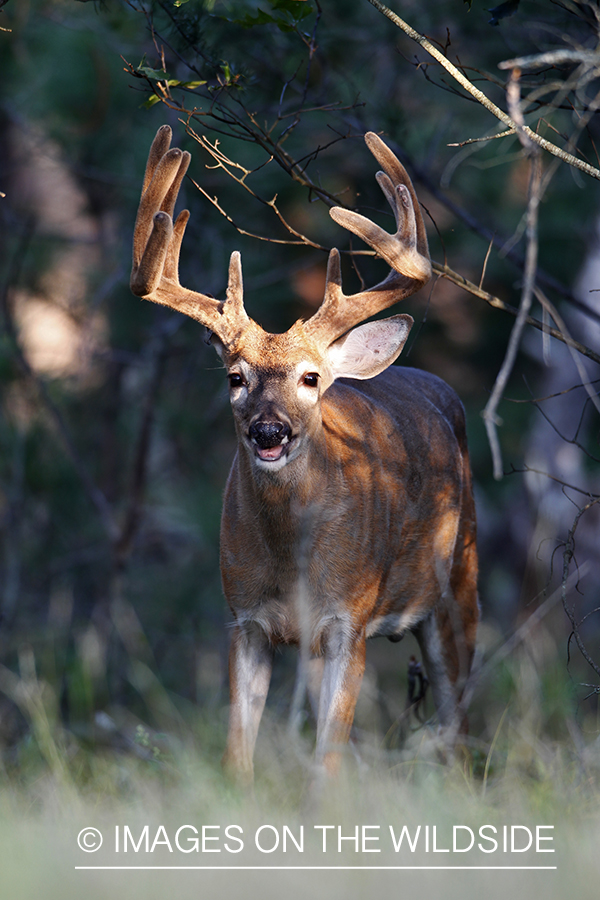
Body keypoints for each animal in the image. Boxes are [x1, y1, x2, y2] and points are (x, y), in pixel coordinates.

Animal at [130, 125, 478, 780]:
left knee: (459, 729)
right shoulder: (244, 619)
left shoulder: (350, 620)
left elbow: (329, 762)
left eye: (311, 378)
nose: (269, 432)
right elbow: (237, 754)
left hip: (458, 583)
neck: (292, 557)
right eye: (235, 377)